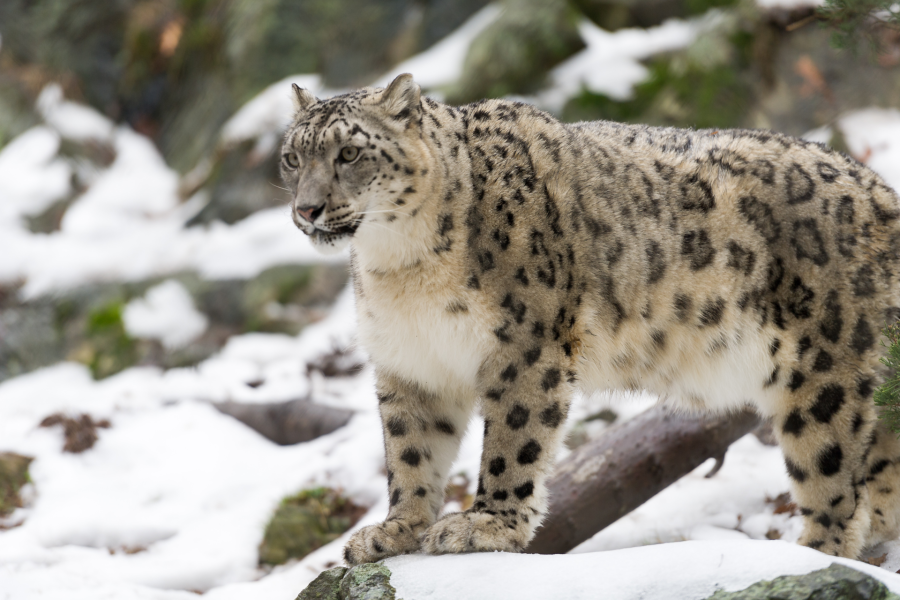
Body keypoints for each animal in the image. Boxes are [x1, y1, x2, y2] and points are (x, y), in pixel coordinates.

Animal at [279, 73, 900, 565]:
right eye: (293, 157)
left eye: (349, 153)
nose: (307, 209)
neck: (400, 266)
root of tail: (882, 191)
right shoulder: (409, 362)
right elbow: (410, 452)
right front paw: (396, 531)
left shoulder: (524, 346)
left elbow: (513, 440)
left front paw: (486, 525)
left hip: (824, 380)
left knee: (834, 487)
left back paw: (811, 556)